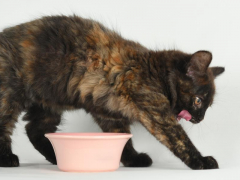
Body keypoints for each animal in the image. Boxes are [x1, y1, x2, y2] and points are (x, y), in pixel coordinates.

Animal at [0, 15, 225, 169]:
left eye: (207, 106)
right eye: (198, 101)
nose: (199, 118)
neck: (153, 71)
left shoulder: (110, 114)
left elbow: (123, 139)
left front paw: (132, 159)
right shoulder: (156, 113)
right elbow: (179, 140)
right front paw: (202, 161)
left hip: (48, 104)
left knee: (34, 129)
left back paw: (57, 156)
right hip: (8, 96)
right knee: (6, 126)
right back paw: (7, 159)